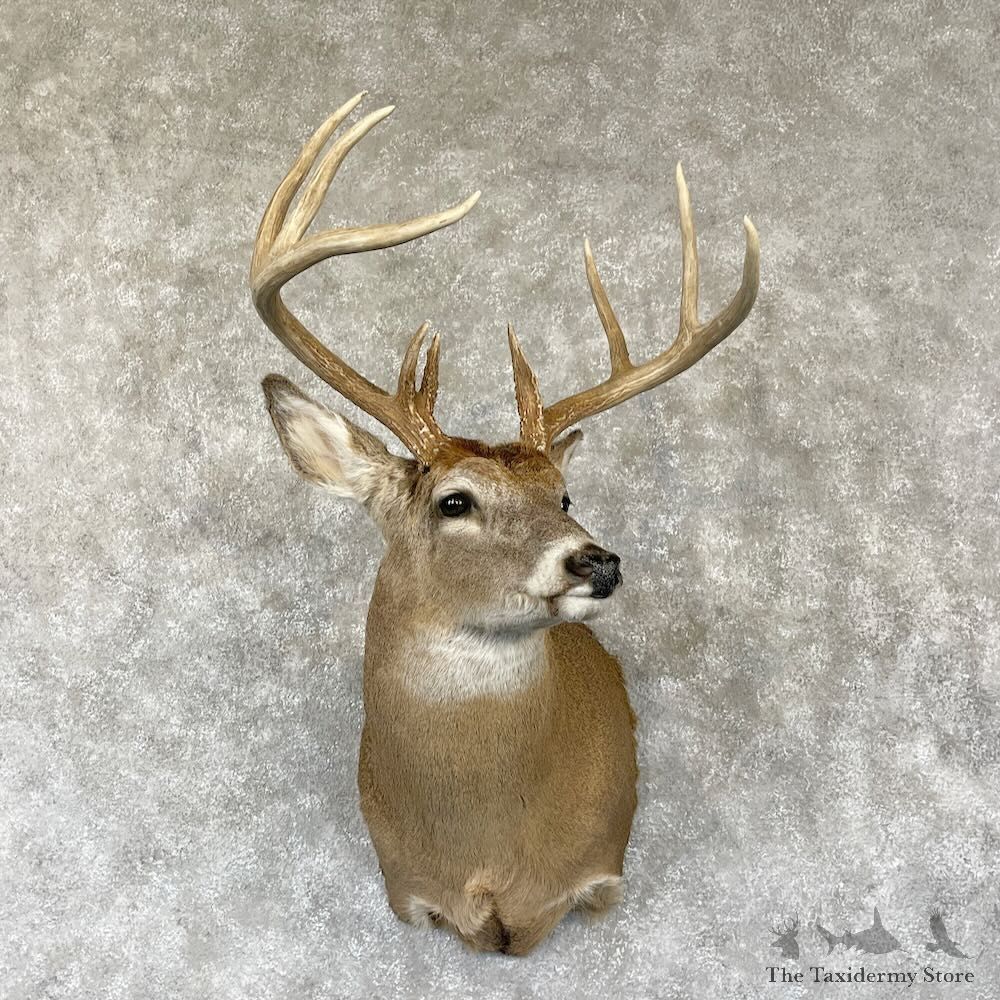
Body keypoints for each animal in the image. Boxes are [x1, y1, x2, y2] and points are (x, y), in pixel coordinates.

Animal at [251, 91, 759, 956]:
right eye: (454, 500)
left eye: (564, 493)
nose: (596, 561)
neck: (485, 856)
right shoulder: (406, 890)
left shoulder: (599, 874)